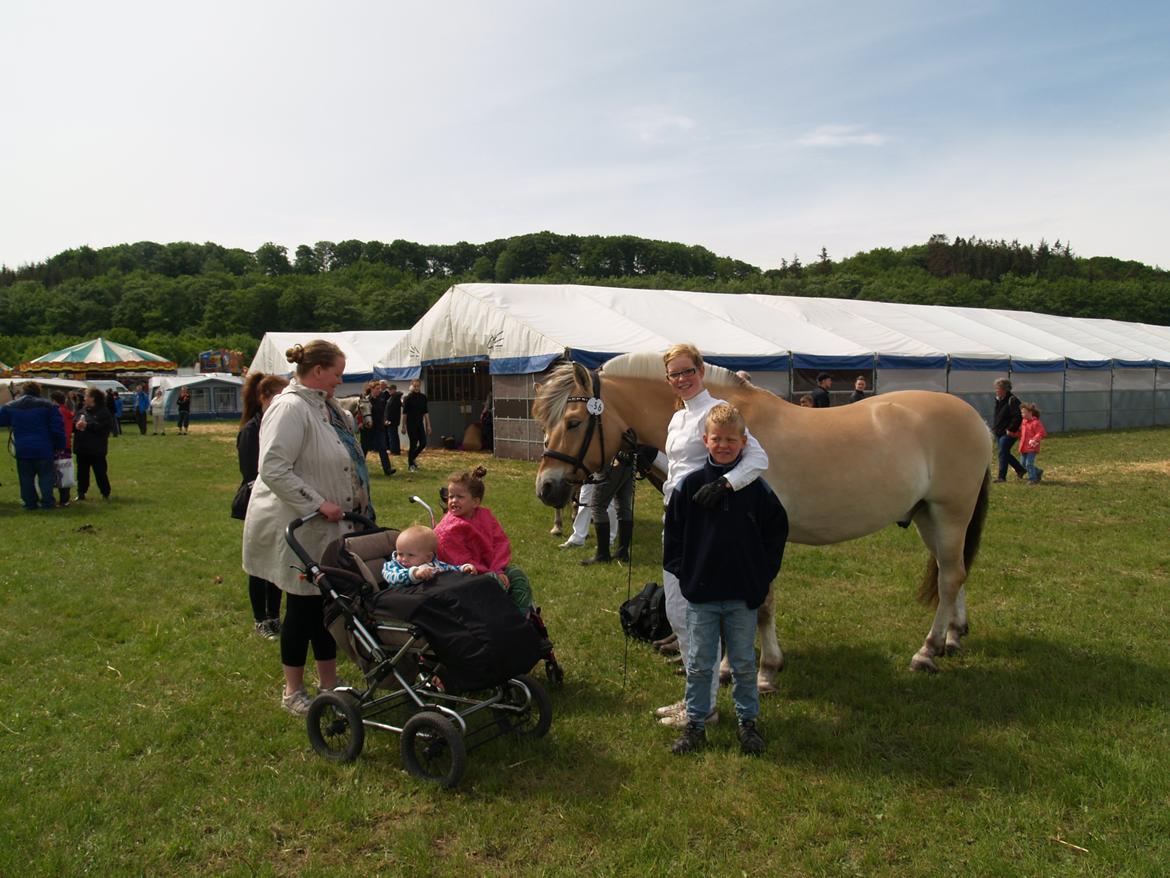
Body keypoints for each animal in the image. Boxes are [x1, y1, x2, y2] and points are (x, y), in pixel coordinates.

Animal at [535, 353, 992, 688]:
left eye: (573, 422)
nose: (547, 487)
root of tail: (975, 417)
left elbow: (761, 604)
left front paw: (764, 671)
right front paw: (726, 667)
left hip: (950, 512)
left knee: (951, 576)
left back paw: (928, 651)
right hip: (927, 515)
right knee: (954, 572)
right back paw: (954, 635)